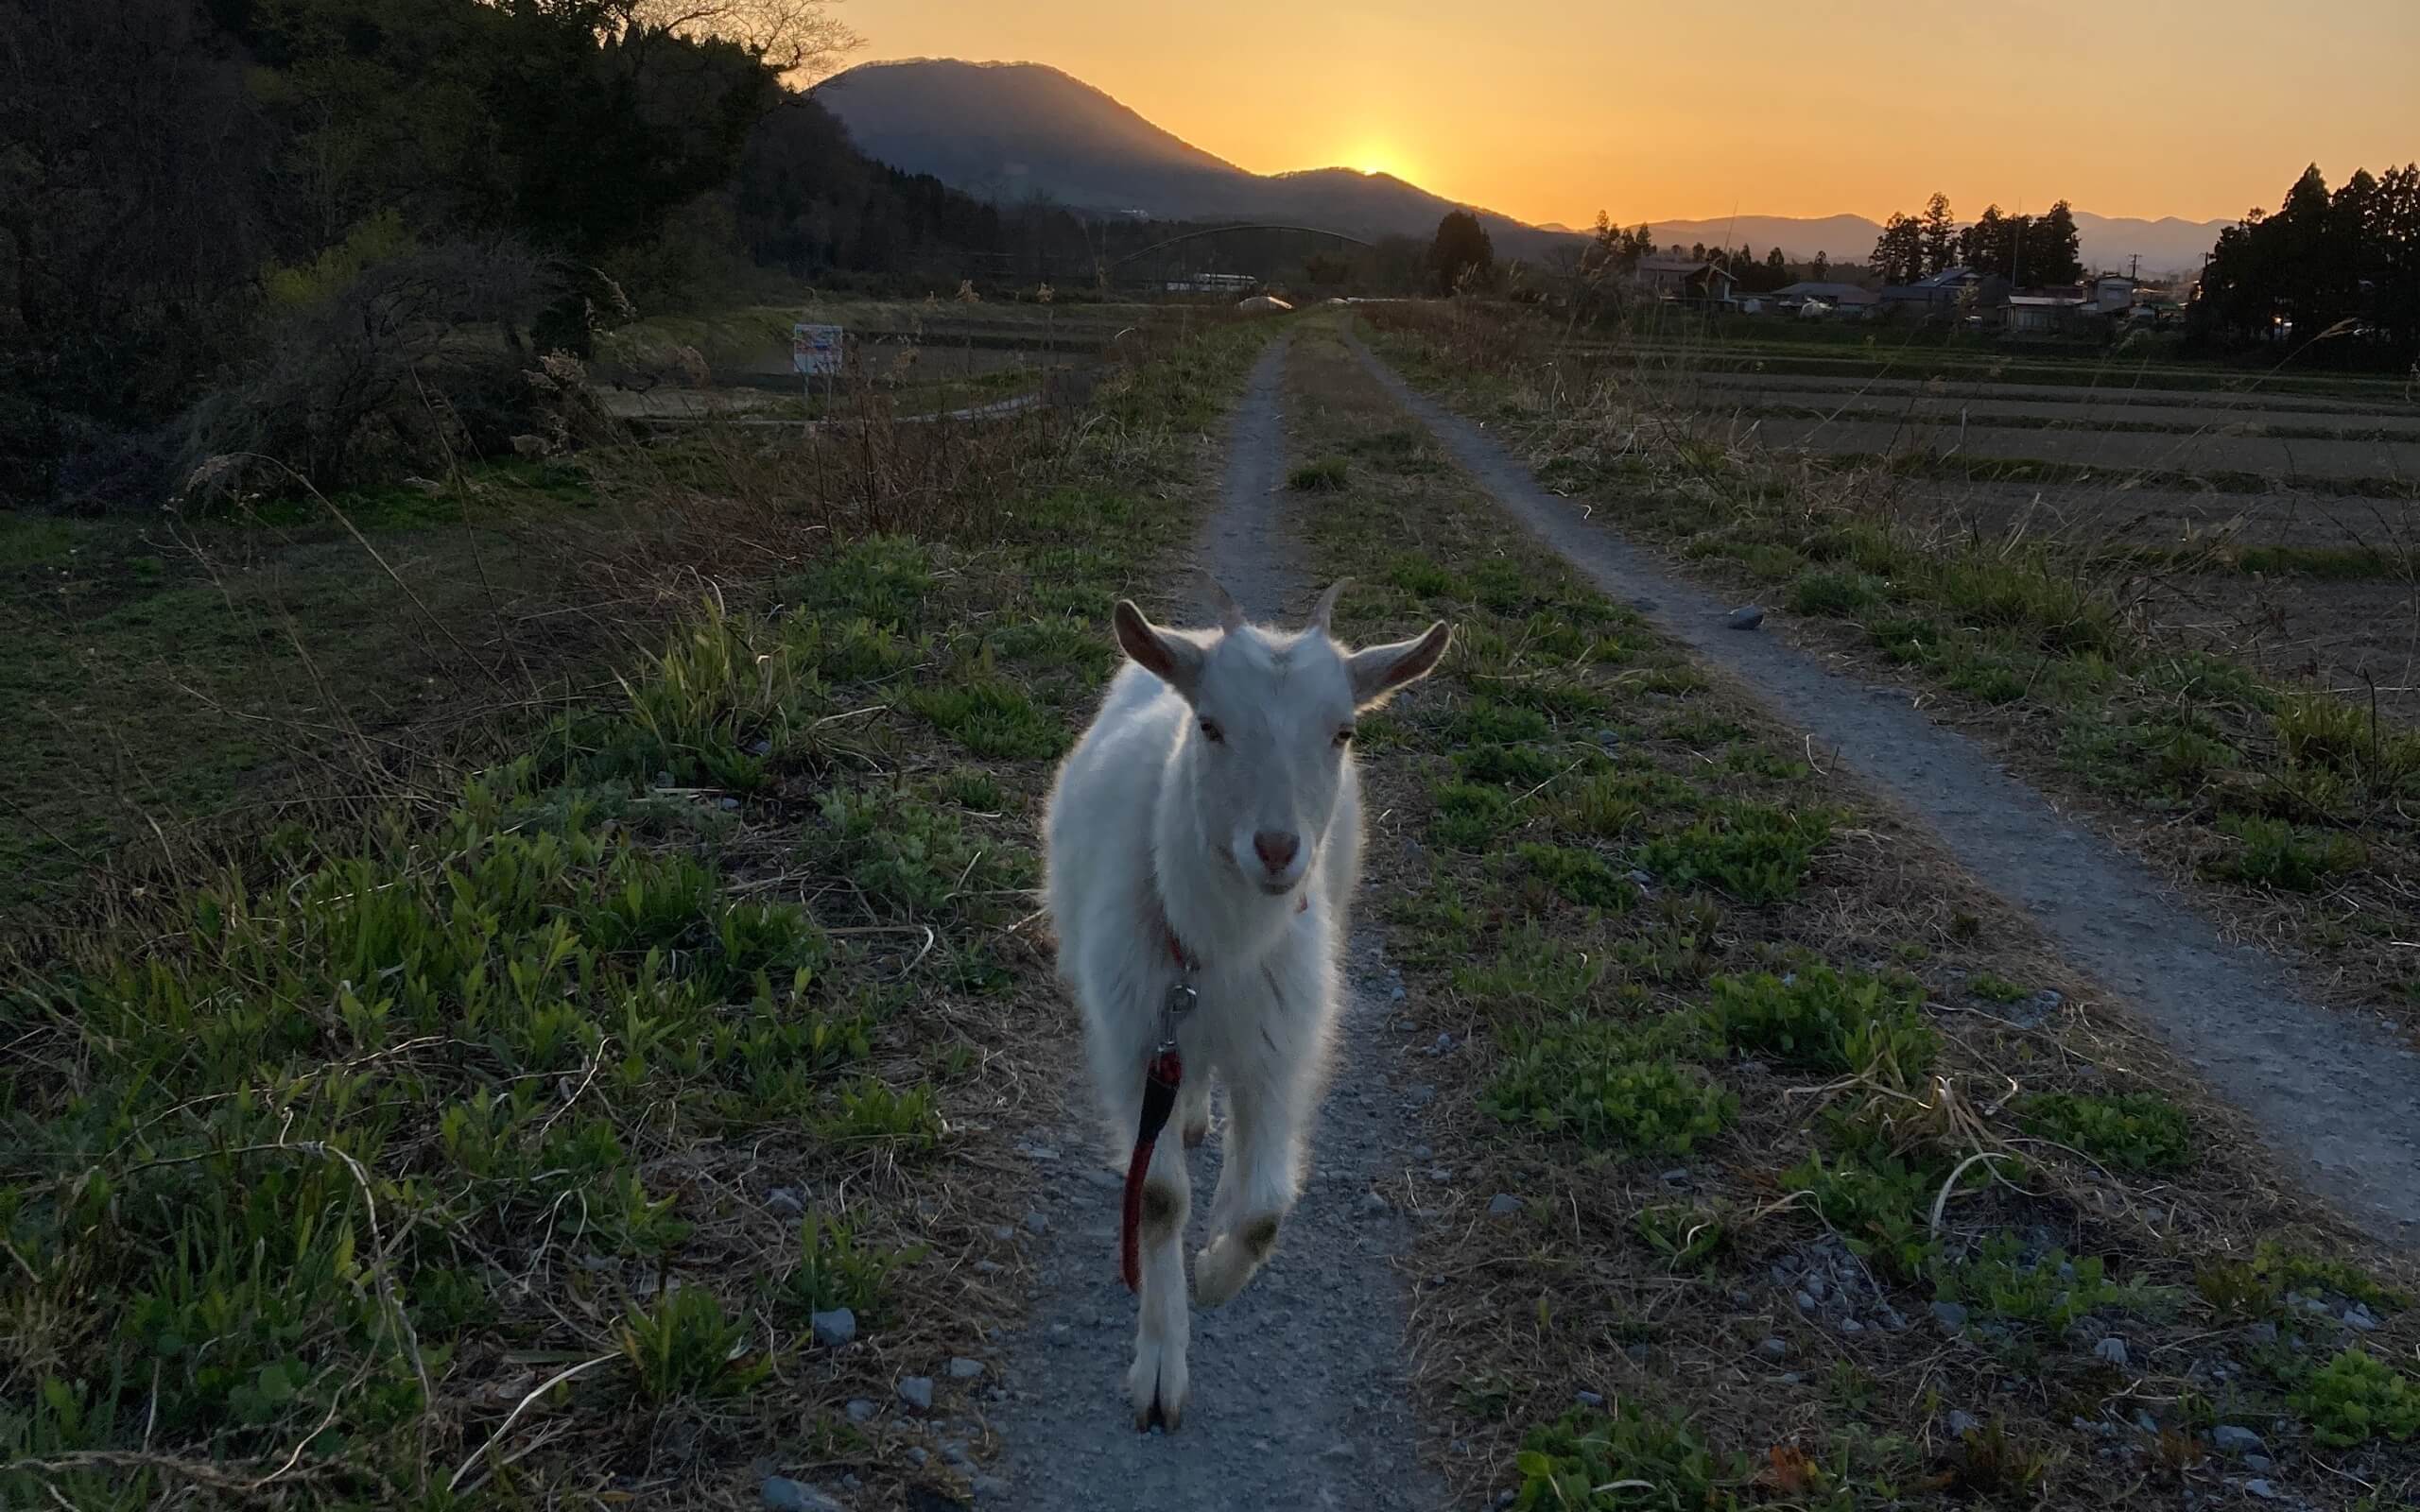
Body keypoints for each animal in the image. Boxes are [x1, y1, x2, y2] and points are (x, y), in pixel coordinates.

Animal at [1045, 577, 1452, 1422]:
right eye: (1210, 725)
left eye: (1342, 732)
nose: (1276, 849)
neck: (1217, 950)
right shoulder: (1134, 1039)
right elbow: (1158, 1198)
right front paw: (1160, 1366)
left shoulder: (1280, 1044)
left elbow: (1267, 1210)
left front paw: (1215, 1275)